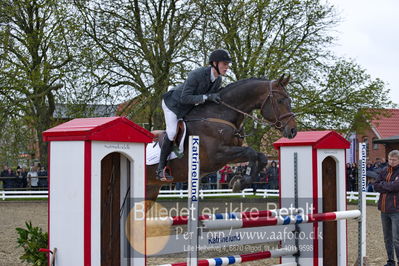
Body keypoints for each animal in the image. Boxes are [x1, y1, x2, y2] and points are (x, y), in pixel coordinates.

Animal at [146, 74, 296, 204]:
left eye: (290, 100)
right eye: (280, 101)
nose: (293, 131)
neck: (219, 115)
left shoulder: (230, 155)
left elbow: (261, 157)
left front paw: (239, 181)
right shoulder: (215, 156)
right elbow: (251, 152)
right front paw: (241, 180)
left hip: (151, 188)